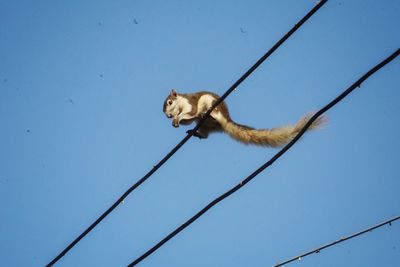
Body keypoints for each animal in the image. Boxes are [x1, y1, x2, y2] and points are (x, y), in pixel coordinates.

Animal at [162, 90, 324, 149]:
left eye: (169, 102)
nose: (167, 115)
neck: (180, 104)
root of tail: (226, 120)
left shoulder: (191, 103)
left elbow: (191, 113)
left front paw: (177, 118)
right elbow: (188, 120)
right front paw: (175, 120)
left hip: (211, 104)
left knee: (210, 116)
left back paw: (208, 115)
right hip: (204, 126)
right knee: (205, 134)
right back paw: (195, 133)